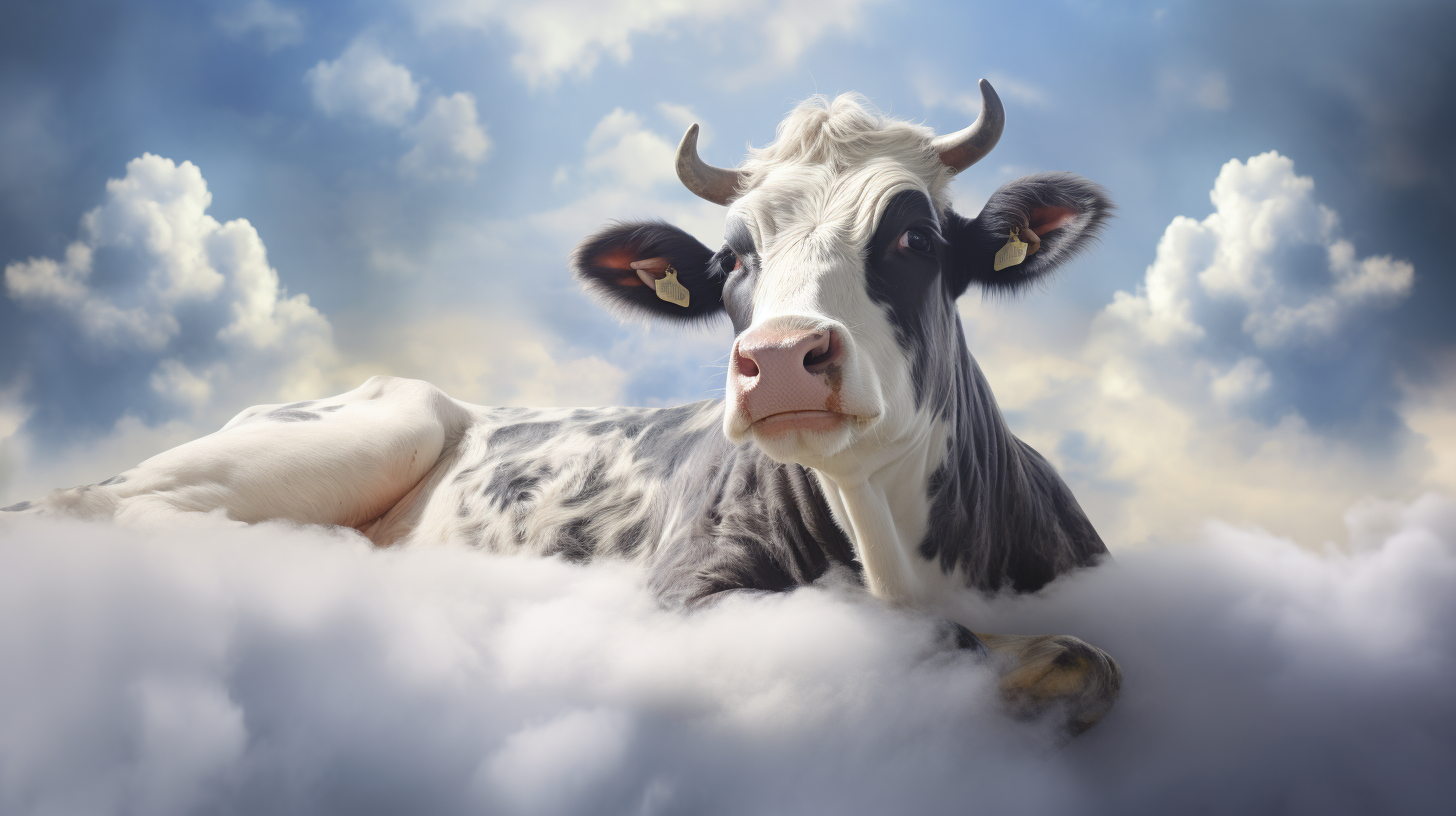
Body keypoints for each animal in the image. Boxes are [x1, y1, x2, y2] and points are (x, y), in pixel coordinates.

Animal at [4, 81, 1121, 734]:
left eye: (912, 240)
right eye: (733, 262)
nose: (779, 362)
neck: (897, 545)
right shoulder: (686, 591)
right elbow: (1035, 653)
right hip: (370, 425)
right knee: (107, 509)